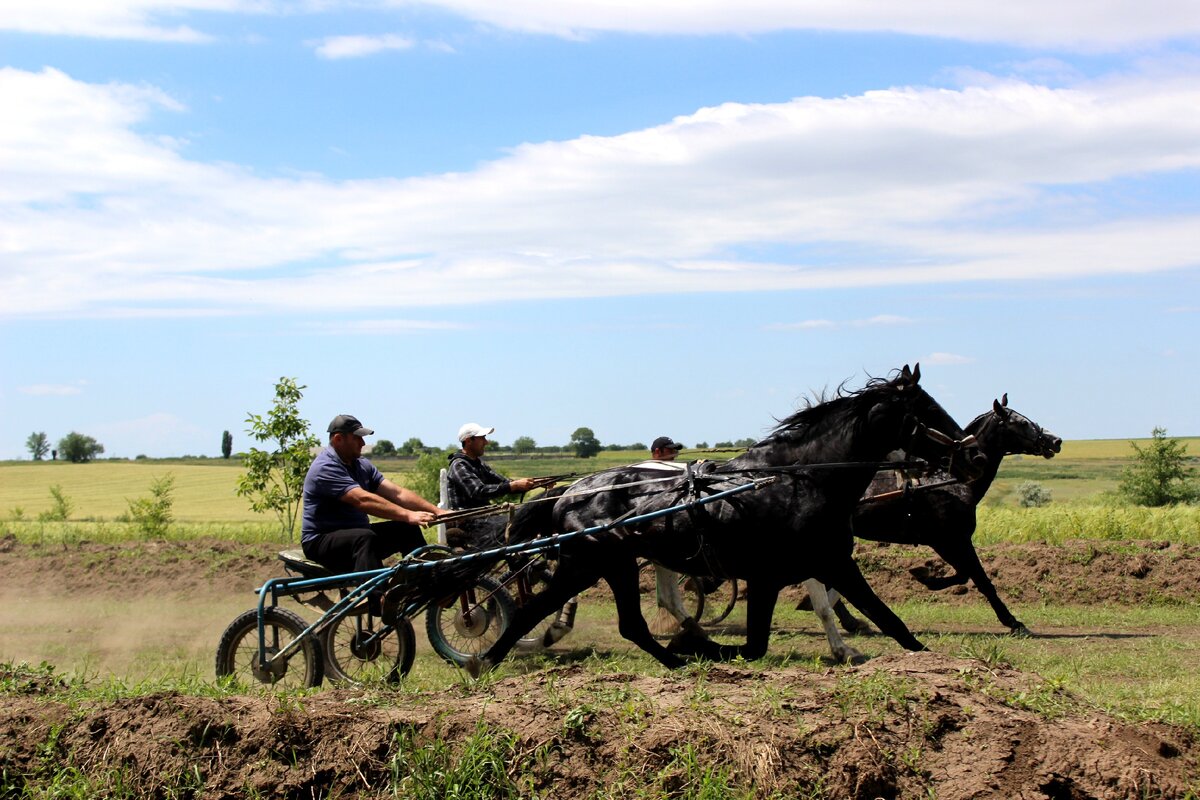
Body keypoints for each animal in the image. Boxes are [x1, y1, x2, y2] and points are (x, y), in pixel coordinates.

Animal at [451, 367, 984, 681]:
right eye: (926, 409)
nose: (973, 453)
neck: (797, 480)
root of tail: (569, 491)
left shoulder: (816, 566)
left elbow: (884, 621)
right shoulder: (790, 571)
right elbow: (761, 644)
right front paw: (701, 644)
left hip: (603, 566)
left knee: (601, 621)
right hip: (594, 565)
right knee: (554, 614)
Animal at [820, 393, 1065, 638]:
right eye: (1021, 422)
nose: (1056, 441)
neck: (945, 481)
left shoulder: (948, 541)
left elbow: (964, 574)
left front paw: (926, 576)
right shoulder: (950, 540)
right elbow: (979, 579)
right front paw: (1013, 622)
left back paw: (850, 621)